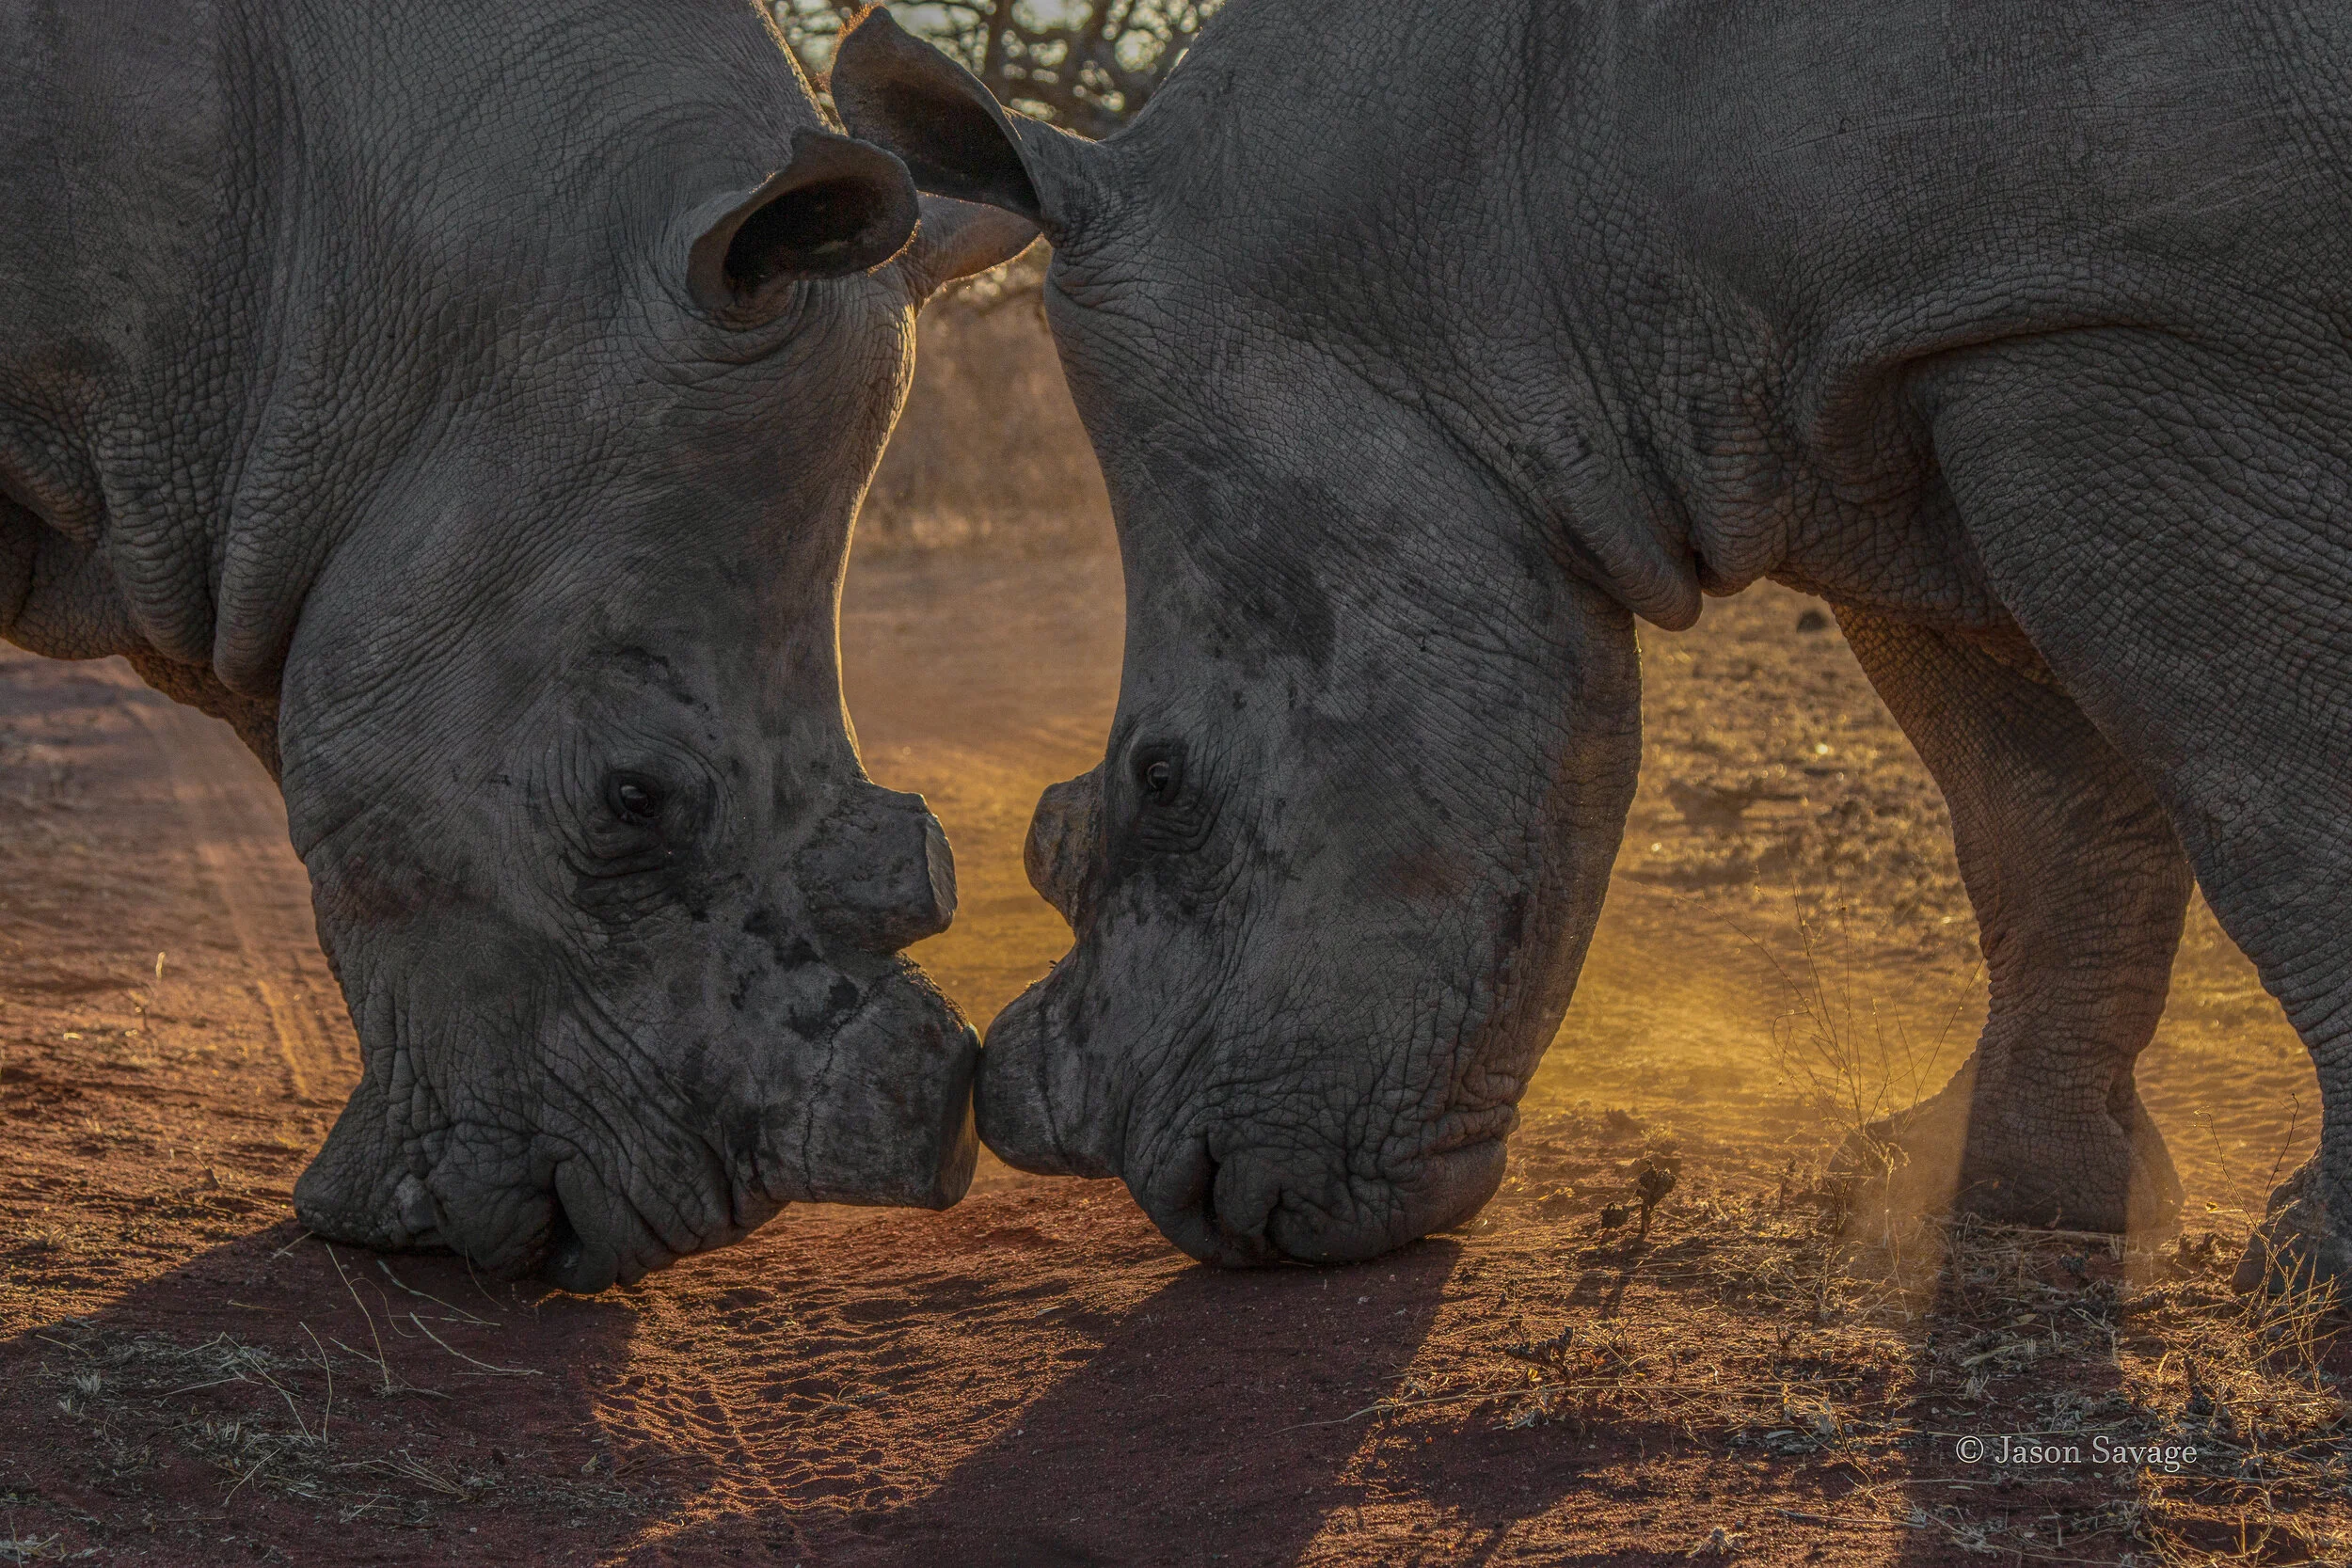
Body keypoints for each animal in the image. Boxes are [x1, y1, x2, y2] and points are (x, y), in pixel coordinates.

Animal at [837, 1, 2352, 1285]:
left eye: (1163, 780)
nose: (1194, 1205)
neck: (1484, 230)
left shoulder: (2103, 316)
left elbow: (2270, 796)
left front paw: (2311, 1265)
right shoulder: (1890, 375)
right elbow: (2041, 822)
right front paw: (1989, 1189)